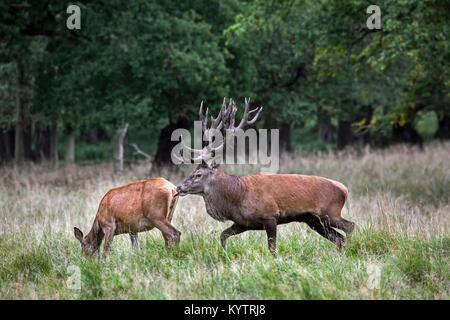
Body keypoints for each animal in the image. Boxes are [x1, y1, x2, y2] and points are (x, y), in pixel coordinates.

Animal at [176, 97, 356, 255]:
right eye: (191, 172)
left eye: (198, 174)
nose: (179, 187)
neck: (238, 197)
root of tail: (344, 189)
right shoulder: (242, 223)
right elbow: (222, 236)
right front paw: (225, 253)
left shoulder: (270, 215)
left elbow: (272, 248)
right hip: (314, 220)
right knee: (339, 239)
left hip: (330, 212)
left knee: (350, 226)